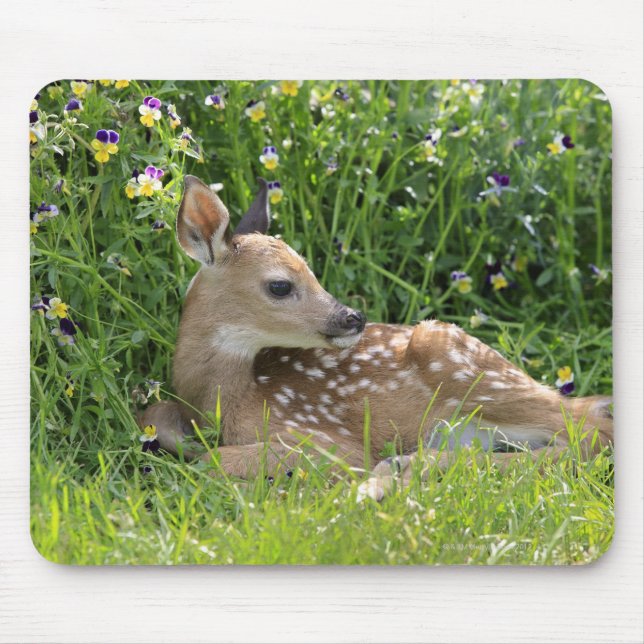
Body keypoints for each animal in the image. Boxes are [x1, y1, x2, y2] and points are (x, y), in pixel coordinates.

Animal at [139, 175, 613, 501]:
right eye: (279, 285)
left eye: (310, 271)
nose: (353, 317)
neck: (227, 402)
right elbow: (156, 415)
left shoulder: (327, 440)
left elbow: (211, 459)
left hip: (464, 363)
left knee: (591, 433)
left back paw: (389, 476)